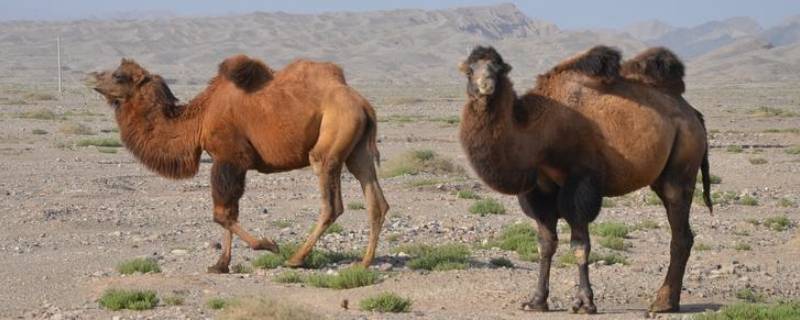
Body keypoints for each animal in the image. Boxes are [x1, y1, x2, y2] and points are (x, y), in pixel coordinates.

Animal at [89, 54, 390, 272]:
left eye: (119, 75)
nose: (93, 77)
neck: (199, 119)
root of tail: (364, 104)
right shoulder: (225, 161)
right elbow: (229, 212)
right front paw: (220, 264)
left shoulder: (230, 158)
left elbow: (222, 214)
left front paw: (269, 245)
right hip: (357, 151)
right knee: (376, 200)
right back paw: (364, 262)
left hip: (329, 144)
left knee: (332, 204)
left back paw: (295, 258)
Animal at [460, 46, 708, 314]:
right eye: (470, 70)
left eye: (497, 69)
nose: (486, 85)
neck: (539, 132)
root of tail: (694, 115)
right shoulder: (540, 190)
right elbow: (545, 244)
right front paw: (537, 301)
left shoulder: (580, 182)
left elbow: (580, 246)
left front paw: (585, 303)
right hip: (662, 176)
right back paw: (669, 301)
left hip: (681, 167)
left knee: (680, 234)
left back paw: (662, 303)